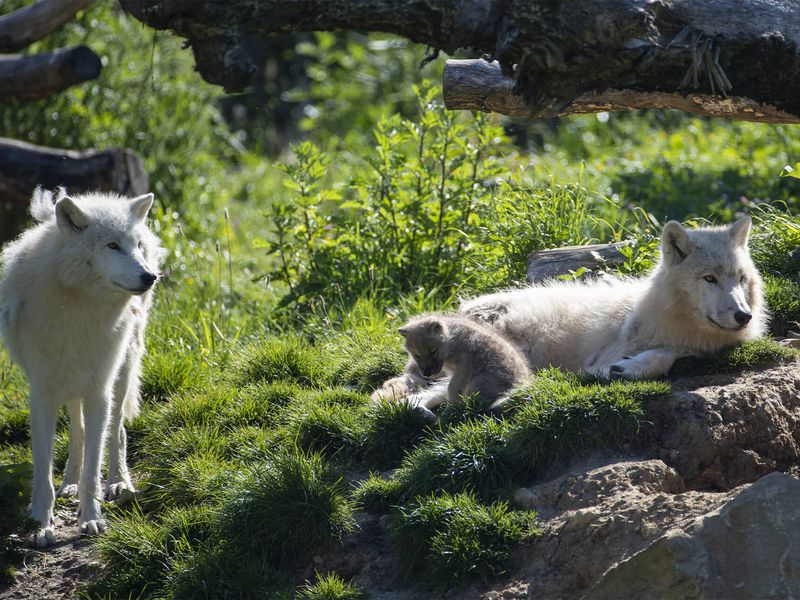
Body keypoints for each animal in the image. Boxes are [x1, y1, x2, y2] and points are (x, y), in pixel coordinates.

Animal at [0, 189, 164, 548]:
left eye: (135, 246)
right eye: (112, 245)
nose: (149, 277)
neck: (78, 304)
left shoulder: (99, 389)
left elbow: (95, 463)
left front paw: (91, 518)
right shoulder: (42, 393)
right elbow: (44, 467)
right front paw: (41, 524)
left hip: (121, 373)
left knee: (116, 432)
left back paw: (119, 482)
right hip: (72, 381)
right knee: (78, 429)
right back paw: (70, 482)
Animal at [376, 218, 768, 410]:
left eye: (740, 279)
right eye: (709, 278)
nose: (743, 316)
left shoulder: (693, 348)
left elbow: (666, 356)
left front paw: (630, 368)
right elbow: (653, 357)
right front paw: (616, 369)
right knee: (415, 395)